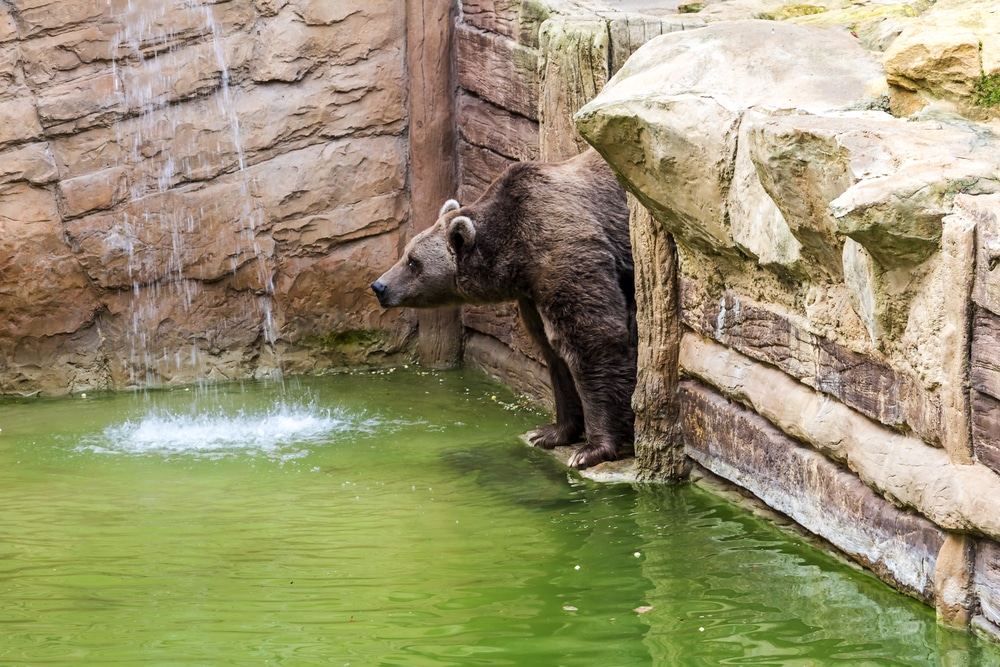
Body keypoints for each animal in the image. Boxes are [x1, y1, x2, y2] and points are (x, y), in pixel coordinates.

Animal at [372, 148, 636, 468]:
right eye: (407, 252)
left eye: (413, 261)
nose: (380, 286)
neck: (517, 252)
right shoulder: (532, 292)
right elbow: (552, 351)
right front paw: (550, 432)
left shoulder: (564, 250)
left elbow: (592, 339)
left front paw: (590, 449)